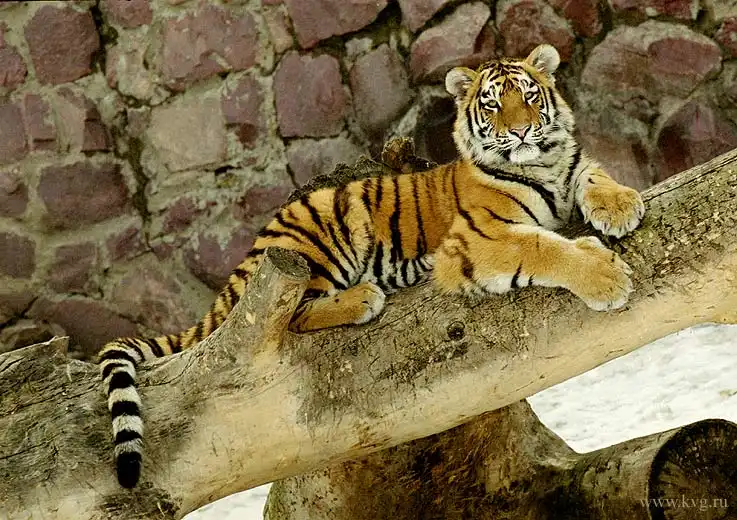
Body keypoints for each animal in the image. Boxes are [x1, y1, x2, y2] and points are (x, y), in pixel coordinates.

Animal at [99, 44, 645, 488]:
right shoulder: (477, 241)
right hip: (324, 237)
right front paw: (606, 277)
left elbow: (594, 175)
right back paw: (364, 297)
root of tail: (255, 244)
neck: (541, 166)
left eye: (530, 96)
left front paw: (621, 206)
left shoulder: (572, 169)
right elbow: (542, 247)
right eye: (492, 104)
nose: (521, 130)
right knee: (293, 315)